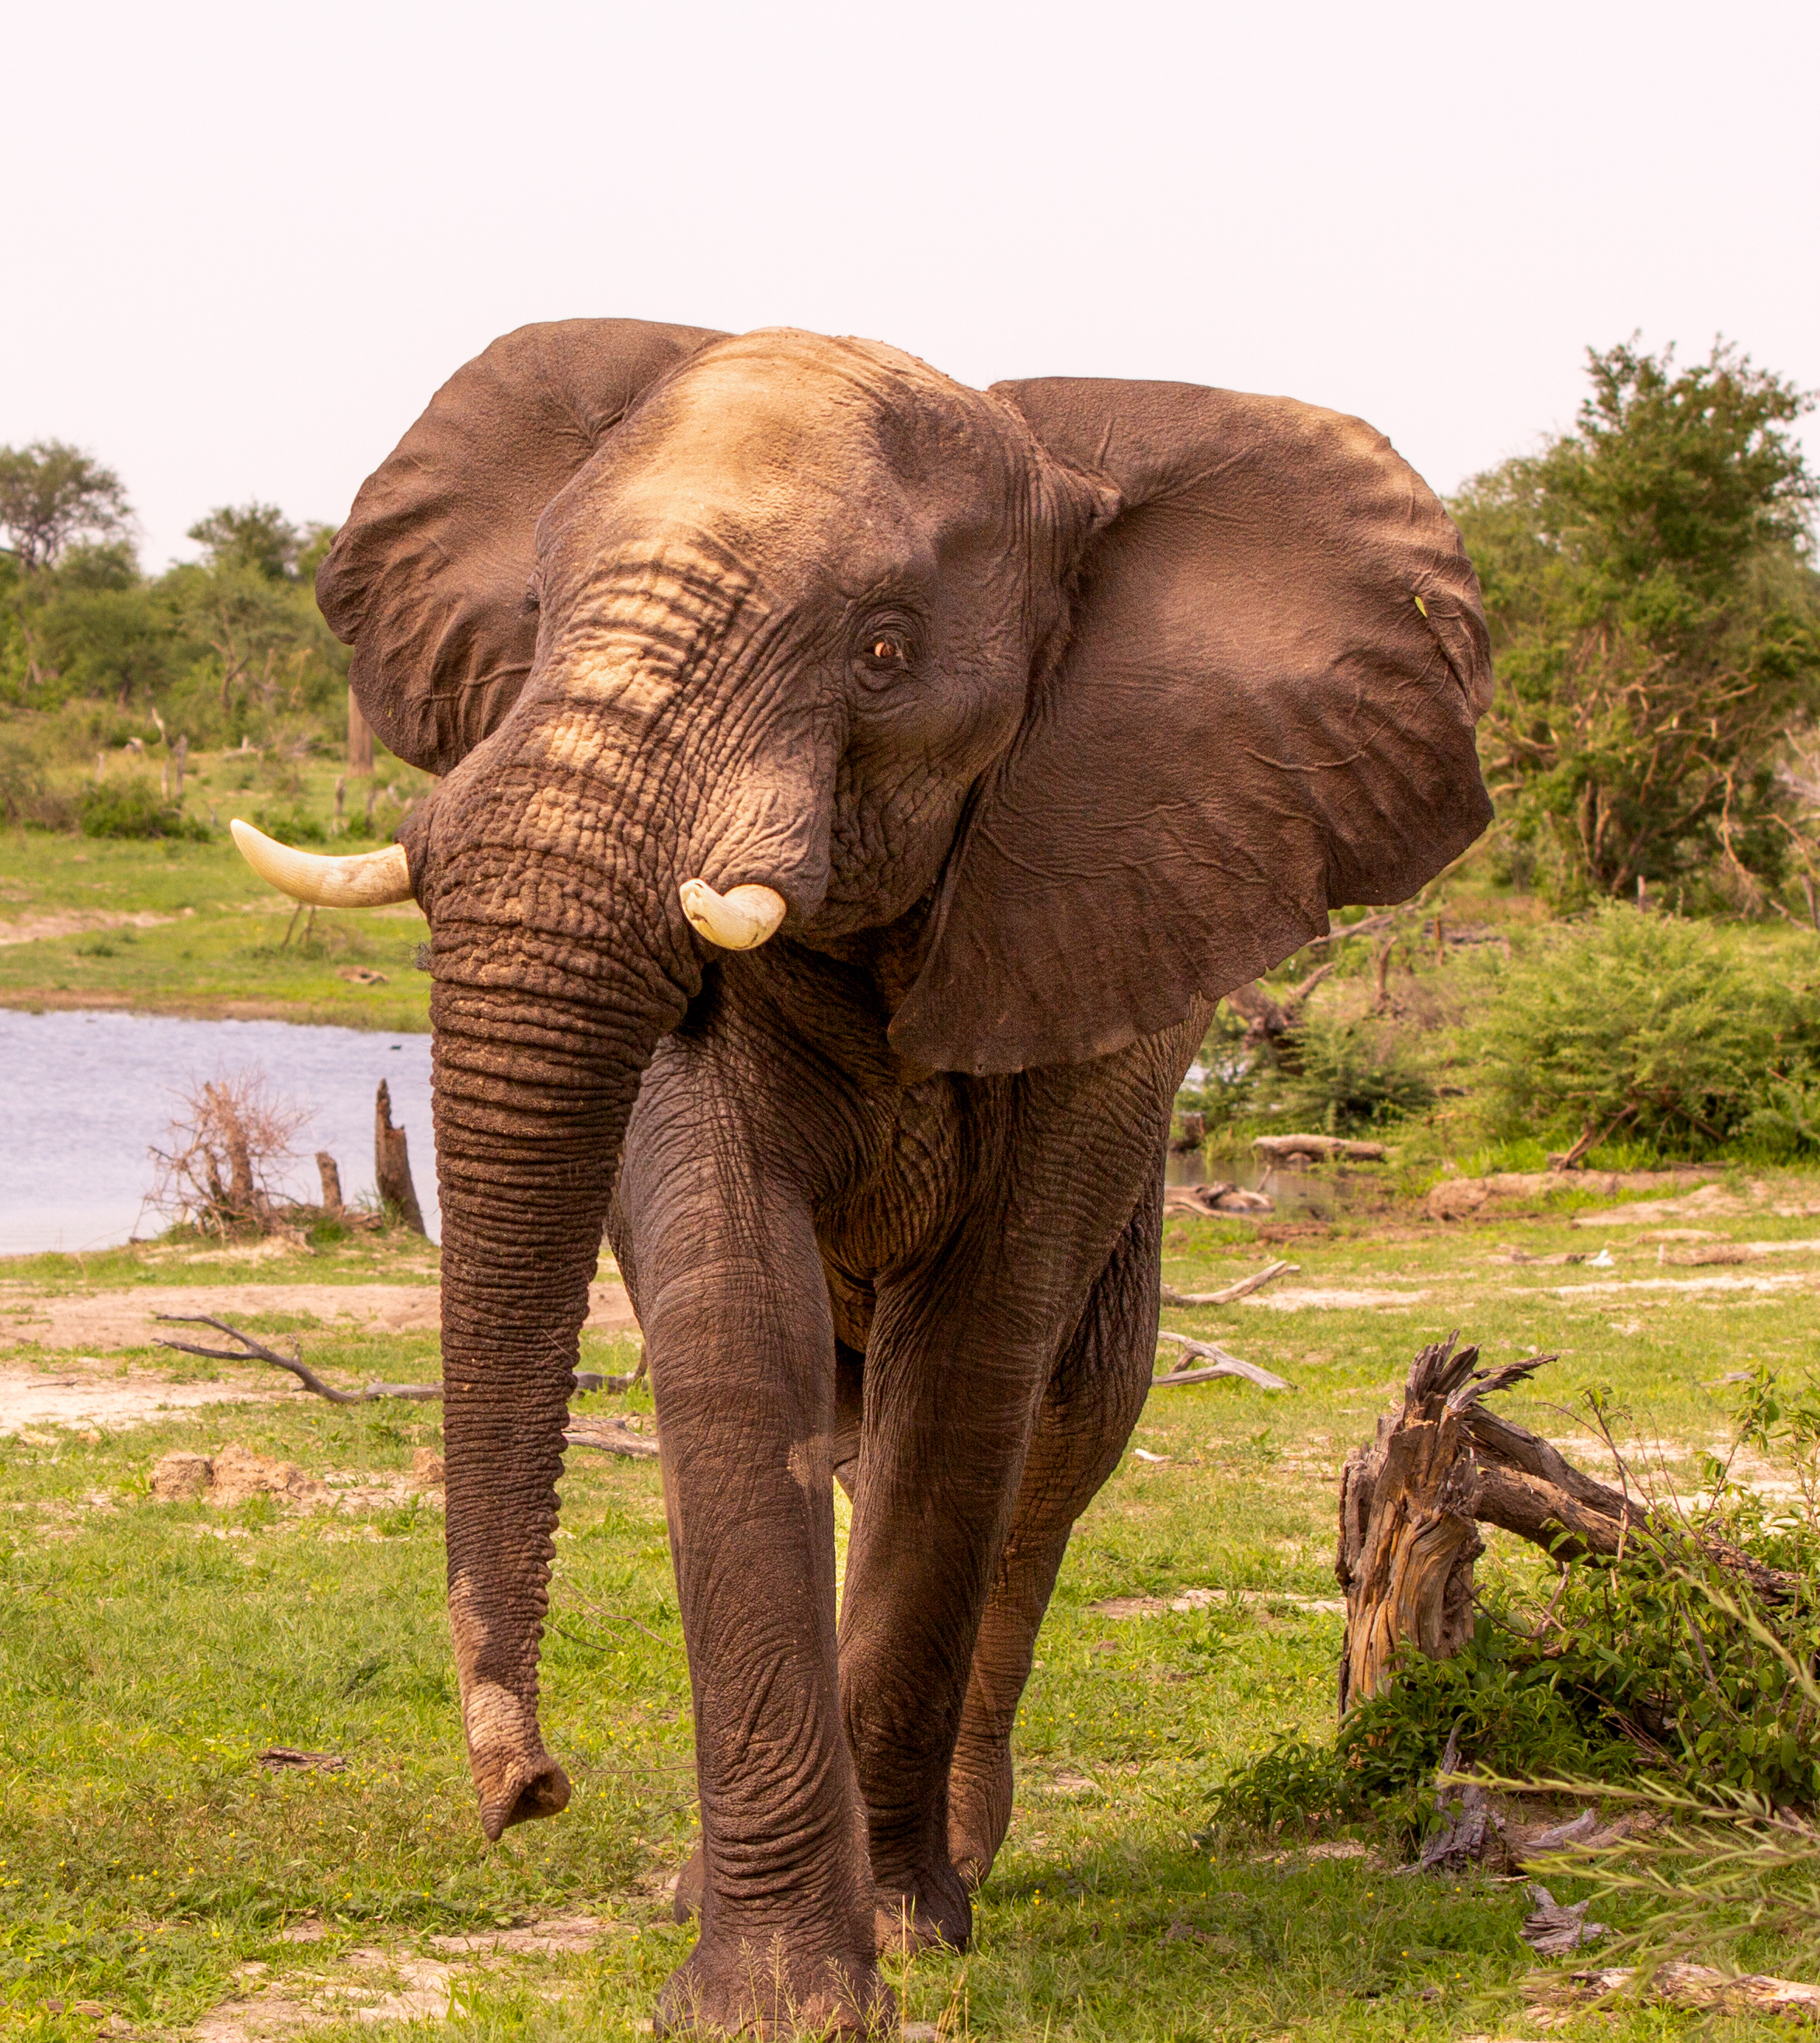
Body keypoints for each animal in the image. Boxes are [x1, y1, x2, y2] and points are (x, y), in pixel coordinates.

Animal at [233, 318, 1492, 2035]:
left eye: (884, 652)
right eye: (541, 613)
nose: (528, 1792)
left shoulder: (1088, 905)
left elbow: (965, 1370)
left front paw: (884, 1936)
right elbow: (727, 1330)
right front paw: (762, 1990)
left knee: (1059, 1425)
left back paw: (958, 1857)